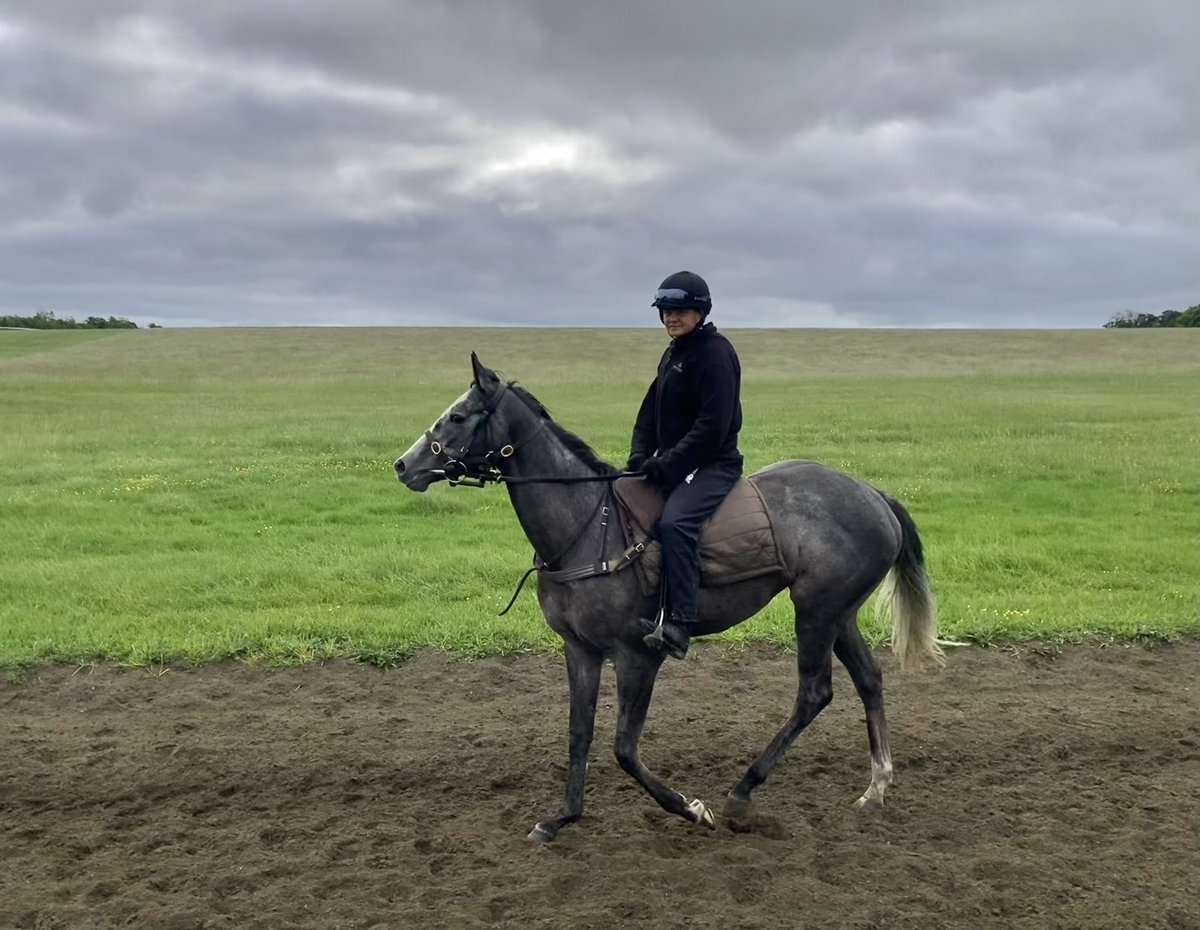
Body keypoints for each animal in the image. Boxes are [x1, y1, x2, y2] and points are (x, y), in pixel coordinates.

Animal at [398, 352, 940, 840]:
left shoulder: (638, 656)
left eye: (458, 416)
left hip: (816, 612)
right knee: (868, 679)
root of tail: (873, 495)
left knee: (814, 693)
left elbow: (623, 748)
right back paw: (876, 787)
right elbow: (579, 734)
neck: (587, 525)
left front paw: (690, 808)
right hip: (838, 614)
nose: (405, 465)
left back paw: (743, 792)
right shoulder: (581, 650)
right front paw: (562, 817)